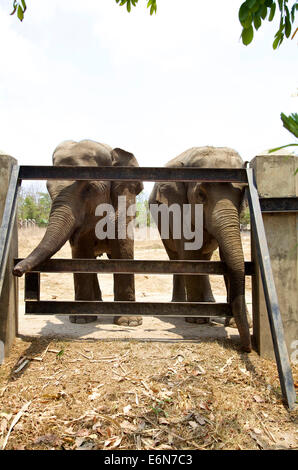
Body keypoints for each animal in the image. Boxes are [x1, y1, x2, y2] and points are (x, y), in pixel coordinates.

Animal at [13, 138, 144, 324]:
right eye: (48, 189)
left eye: (88, 188)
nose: (16, 271)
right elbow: (81, 251)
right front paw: (81, 319)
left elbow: (122, 248)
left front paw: (129, 322)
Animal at [149, 147, 251, 352]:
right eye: (201, 195)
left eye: (242, 193)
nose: (247, 348)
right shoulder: (178, 210)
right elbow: (189, 254)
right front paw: (197, 320)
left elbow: (225, 258)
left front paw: (233, 324)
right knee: (176, 257)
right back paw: (180, 306)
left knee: (205, 259)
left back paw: (209, 303)